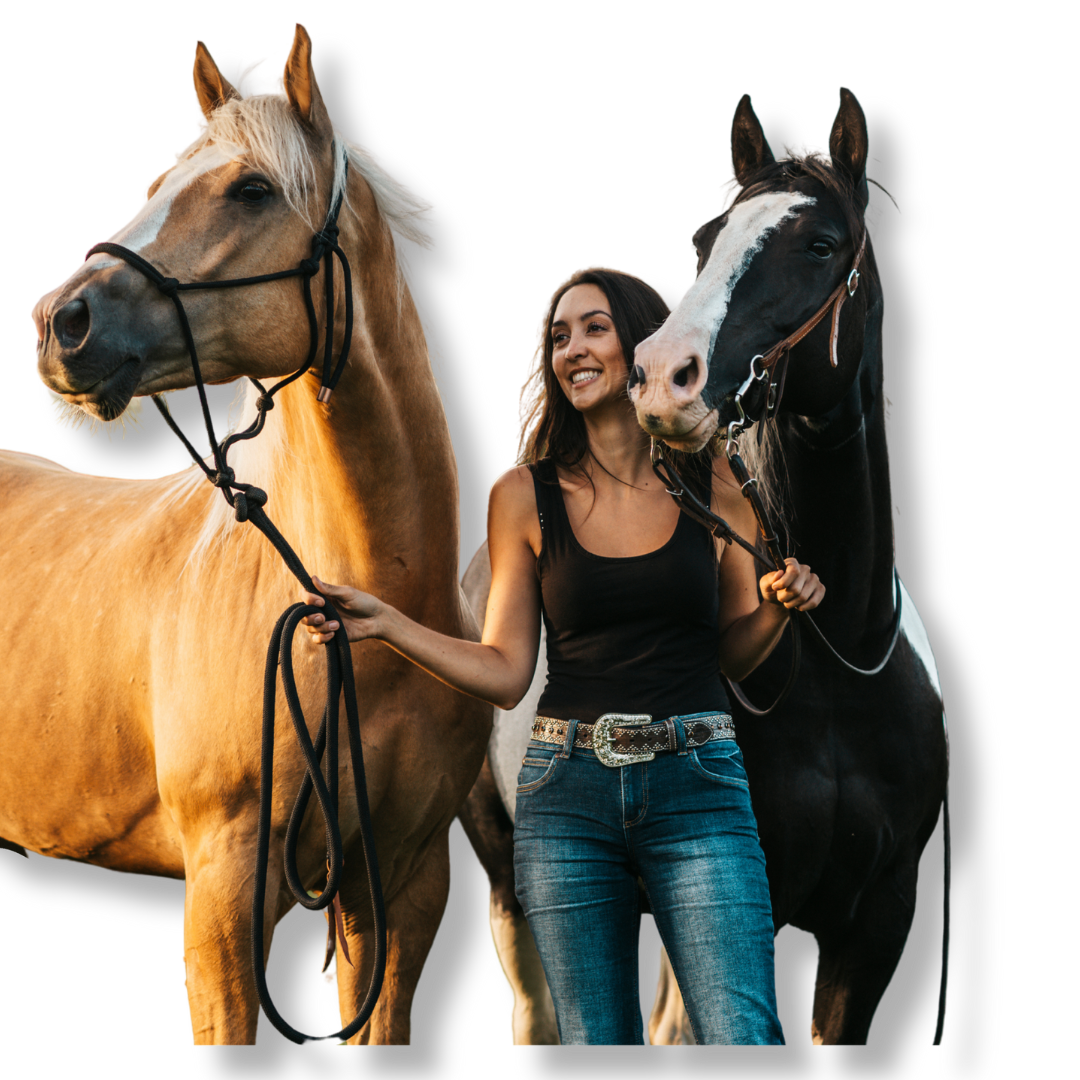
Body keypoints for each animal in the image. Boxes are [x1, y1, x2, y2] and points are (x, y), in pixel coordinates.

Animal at [458, 87, 947, 1045]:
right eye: (701, 242)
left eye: (820, 245)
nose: (662, 378)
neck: (838, 664)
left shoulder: (878, 927)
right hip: (507, 882)